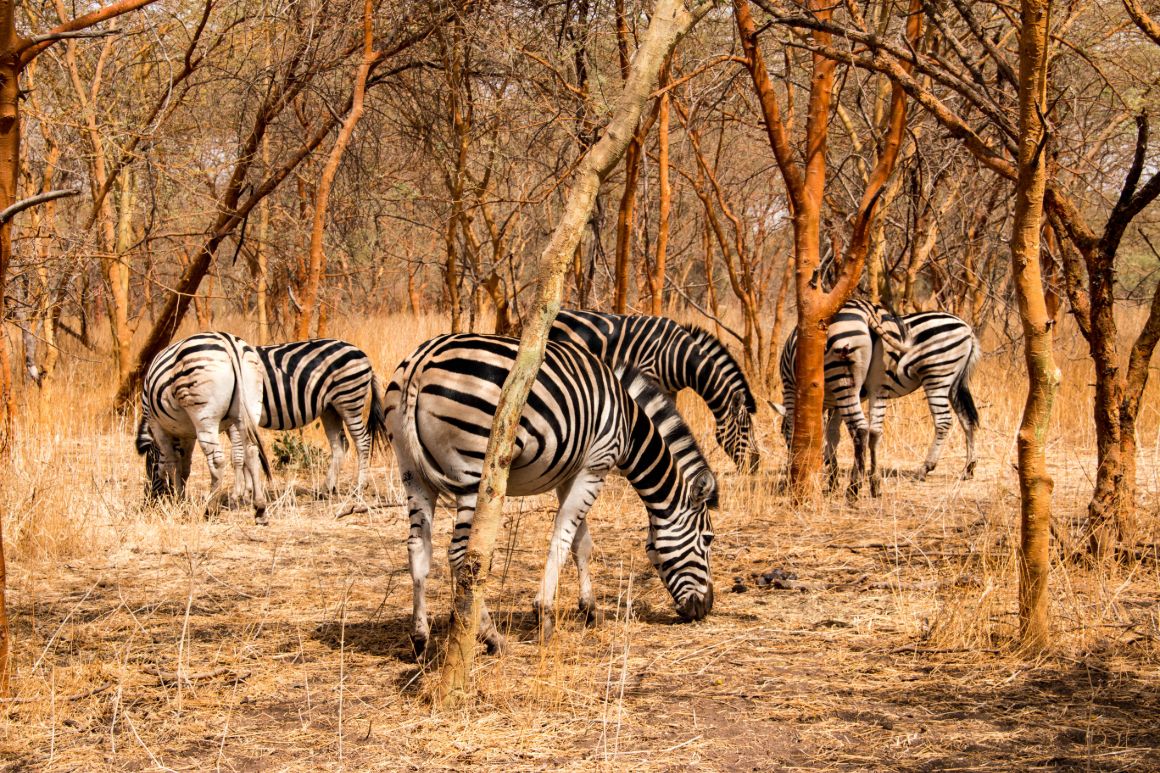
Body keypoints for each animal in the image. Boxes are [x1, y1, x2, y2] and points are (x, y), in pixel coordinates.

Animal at [136, 327, 270, 519]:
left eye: (149, 464)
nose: (147, 502)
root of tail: (229, 342)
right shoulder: (187, 433)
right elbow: (184, 466)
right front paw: (181, 498)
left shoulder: (157, 424)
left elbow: (171, 463)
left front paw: (177, 501)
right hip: (250, 407)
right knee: (251, 450)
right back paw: (260, 508)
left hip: (204, 415)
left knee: (217, 460)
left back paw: (210, 508)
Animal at [255, 338, 389, 494]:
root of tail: (362, 354)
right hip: (330, 409)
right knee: (340, 445)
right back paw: (327, 488)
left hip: (349, 401)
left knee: (362, 441)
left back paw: (359, 486)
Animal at [385, 334, 719, 654]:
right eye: (707, 539)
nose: (704, 609)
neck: (630, 427)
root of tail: (420, 363)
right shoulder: (595, 467)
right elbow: (562, 537)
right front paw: (544, 615)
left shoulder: (570, 474)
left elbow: (581, 544)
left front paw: (589, 609)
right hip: (474, 469)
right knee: (461, 556)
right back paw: (491, 637)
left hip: (411, 470)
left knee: (418, 547)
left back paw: (420, 638)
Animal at [552, 306, 760, 468]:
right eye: (744, 429)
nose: (755, 465)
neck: (678, 356)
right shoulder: (646, 375)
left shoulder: (670, 391)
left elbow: (671, 418)